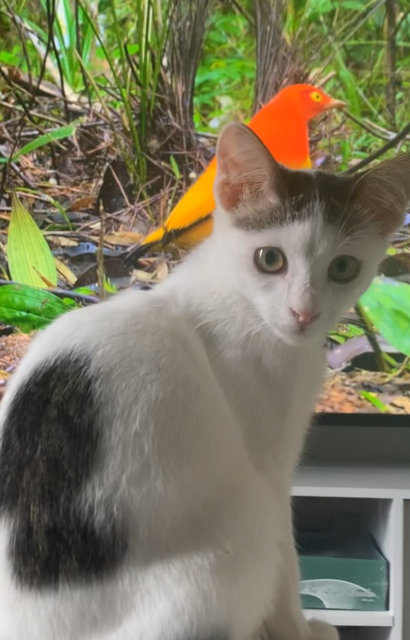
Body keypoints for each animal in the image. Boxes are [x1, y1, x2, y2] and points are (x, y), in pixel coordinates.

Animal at [0, 121, 410, 640]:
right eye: (269, 259)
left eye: (343, 268)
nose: (304, 313)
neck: (239, 299)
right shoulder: (269, 471)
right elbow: (288, 563)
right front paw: (299, 629)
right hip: (237, 540)